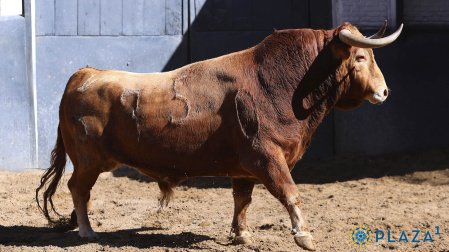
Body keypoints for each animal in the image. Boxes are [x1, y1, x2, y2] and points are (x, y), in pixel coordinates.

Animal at [37, 22, 402, 251]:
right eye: (361, 56)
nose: (385, 91)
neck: (279, 83)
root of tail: (84, 74)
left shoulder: (246, 168)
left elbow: (242, 200)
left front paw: (242, 236)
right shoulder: (267, 158)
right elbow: (291, 194)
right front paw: (305, 236)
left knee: (80, 191)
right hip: (88, 160)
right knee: (77, 188)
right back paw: (87, 232)